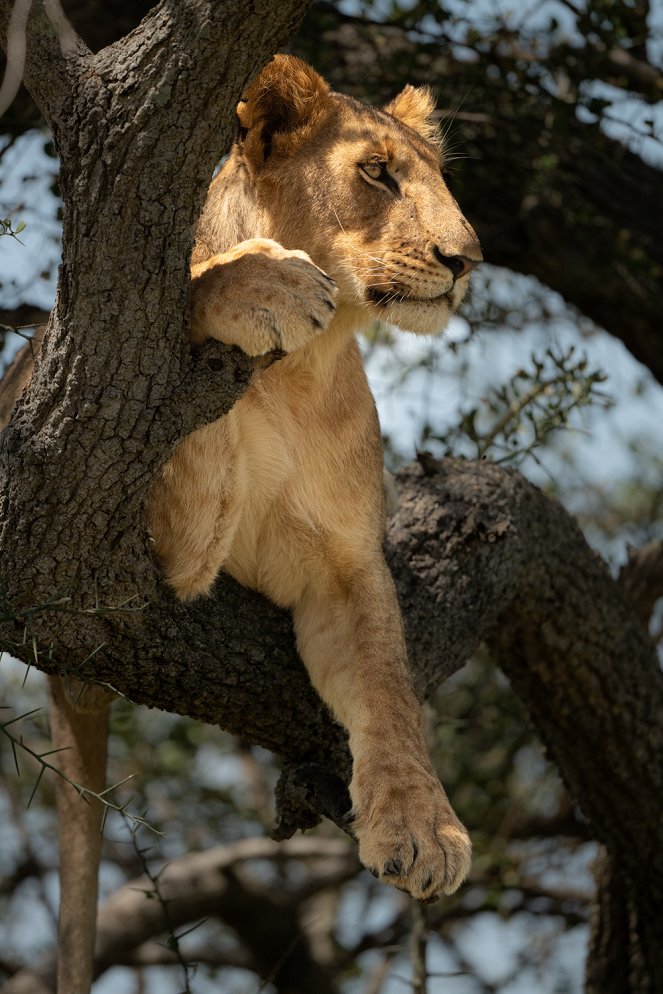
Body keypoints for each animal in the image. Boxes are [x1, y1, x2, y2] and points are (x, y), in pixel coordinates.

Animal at [0, 56, 482, 992]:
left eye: (439, 176)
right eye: (376, 173)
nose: (466, 259)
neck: (303, 373)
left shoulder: (345, 565)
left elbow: (387, 686)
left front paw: (422, 825)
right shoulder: (131, 541)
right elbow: (189, 301)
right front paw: (264, 282)